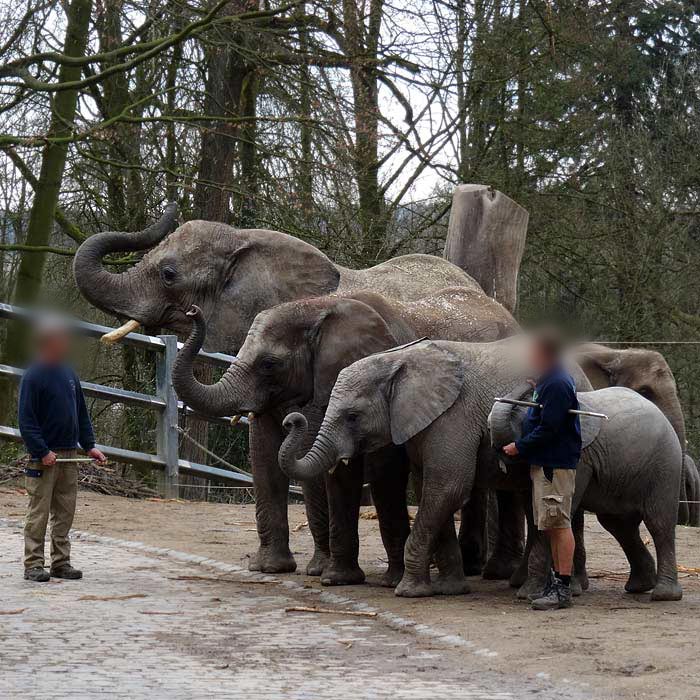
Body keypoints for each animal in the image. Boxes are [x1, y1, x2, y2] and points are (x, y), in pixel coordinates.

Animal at [170, 292, 520, 588]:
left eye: (269, 364)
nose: (192, 310)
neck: (318, 307)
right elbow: (268, 457)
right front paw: (277, 570)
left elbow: (378, 469)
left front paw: (376, 580)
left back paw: (486, 571)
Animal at [280, 340, 684, 600]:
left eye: (353, 416)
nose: (291, 418)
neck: (400, 360)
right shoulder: (425, 422)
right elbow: (431, 489)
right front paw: (447, 590)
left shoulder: (452, 415)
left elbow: (448, 487)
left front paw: (408, 592)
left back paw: (563, 589)